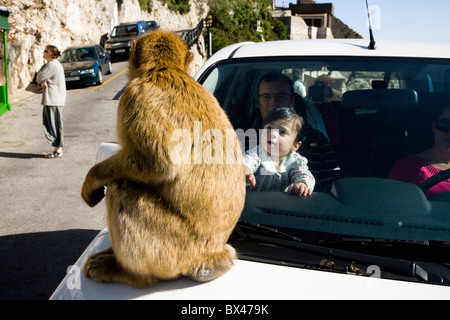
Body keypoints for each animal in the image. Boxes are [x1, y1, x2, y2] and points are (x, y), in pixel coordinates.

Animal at [79, 28, 244, 286]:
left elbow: (158, 165)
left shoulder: (134, 96)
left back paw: (127, 272)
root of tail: (210, 256)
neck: (164, 69)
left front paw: (92, 180)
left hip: (174, 249)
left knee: (121, 190)